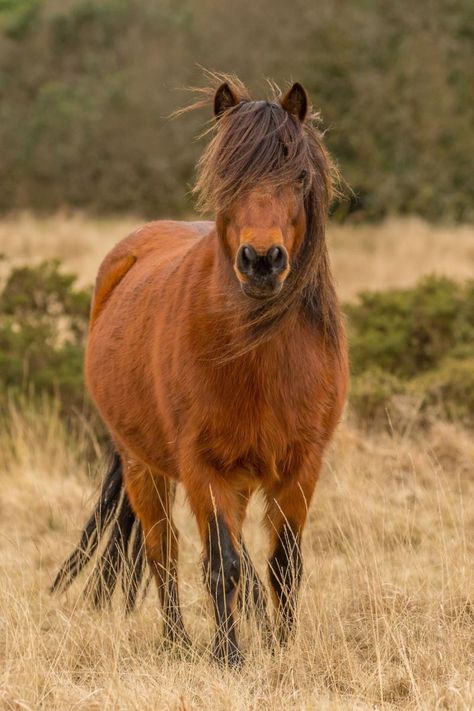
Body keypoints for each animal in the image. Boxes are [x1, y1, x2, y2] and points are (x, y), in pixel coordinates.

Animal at [52, 76, 348, 668]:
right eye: (226, 177)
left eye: (299, 176)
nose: (262, 261)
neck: (259, 357)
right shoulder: (203, 469)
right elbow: (221, 565)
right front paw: (229, 656)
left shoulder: (302, 467)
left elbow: (284, 565)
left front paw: (281, 649)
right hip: (144, 467)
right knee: (162, 550)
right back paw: (176, 640)